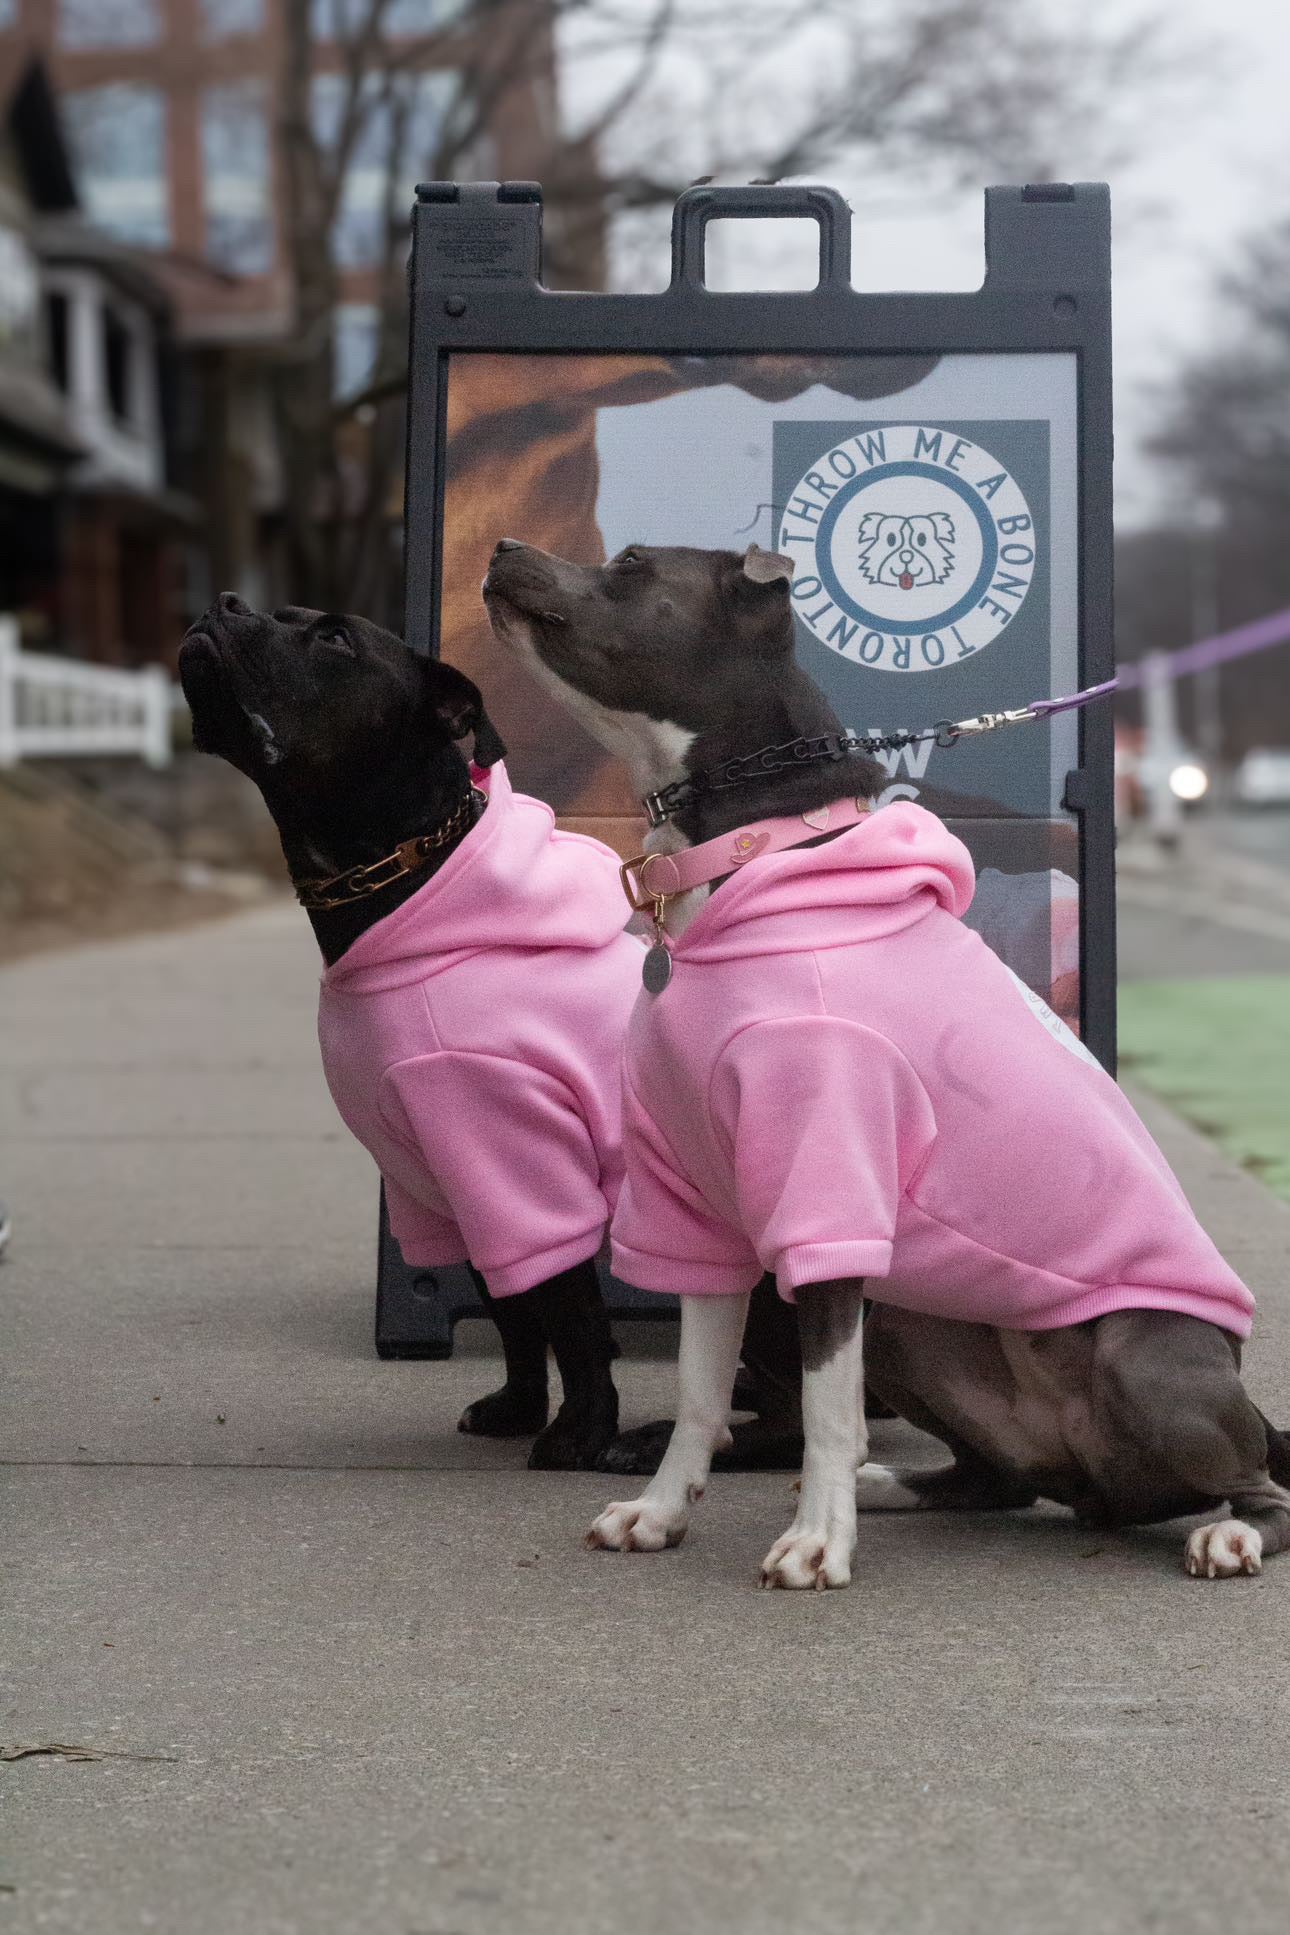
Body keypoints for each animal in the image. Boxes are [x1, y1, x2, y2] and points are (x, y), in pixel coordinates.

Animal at [178, 588, 622, 1462]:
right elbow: (514, 1309)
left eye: (335, 640)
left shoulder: (520, 1170)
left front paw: (581, 1434)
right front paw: (518, 1406)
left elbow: (573, 1315)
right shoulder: (447, 1184)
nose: (227, 601)